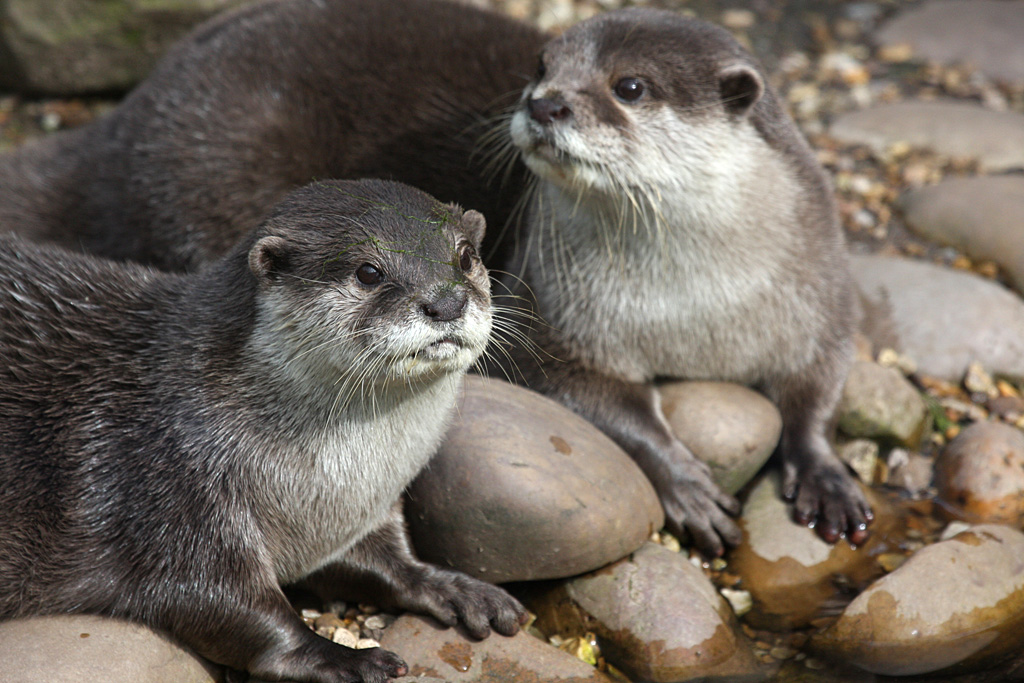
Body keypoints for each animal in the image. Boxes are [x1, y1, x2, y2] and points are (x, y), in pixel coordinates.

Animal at [0, 0, 871, 553]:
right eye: (541, 66)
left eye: (629, 86)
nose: (545, 103)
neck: (695, 306)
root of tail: (123, 125)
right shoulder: (555, 320)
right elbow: (608, 404)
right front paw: (686, 482)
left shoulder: (821, 290)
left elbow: (819, 388)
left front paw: (827, 475)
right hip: (204, 187)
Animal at [0, 178, 524, 683]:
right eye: (368, 272)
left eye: (465, 256)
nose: (446, 300)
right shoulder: (166, 488)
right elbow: (214, 598)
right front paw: (338, 656)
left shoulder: (349, 519)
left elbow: (386, 562)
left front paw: (450, 586)